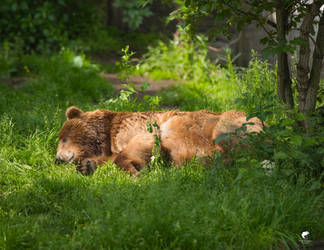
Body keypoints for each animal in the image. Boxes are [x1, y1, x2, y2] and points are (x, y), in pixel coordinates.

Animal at [54, 106, 264, 175]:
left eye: (63, 139)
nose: (57, 159)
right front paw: (87, 166)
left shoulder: (140, 128)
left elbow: (139, 145)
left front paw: (135, 171)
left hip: (233, 121)